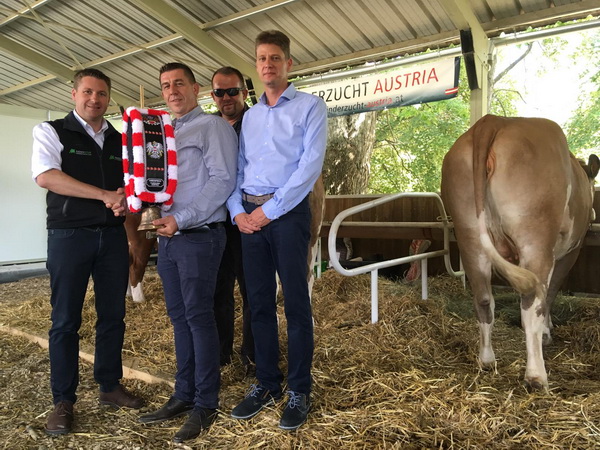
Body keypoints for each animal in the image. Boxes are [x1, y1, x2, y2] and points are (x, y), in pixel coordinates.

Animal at [438, 115, 596, 390]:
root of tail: (492, 121)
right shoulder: (570, 252)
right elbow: (552, 292)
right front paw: (547, 332)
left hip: (469, 235)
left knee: (483, 299)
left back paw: (486, 361)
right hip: (535, 237)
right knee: (533, 301)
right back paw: (536, 376)